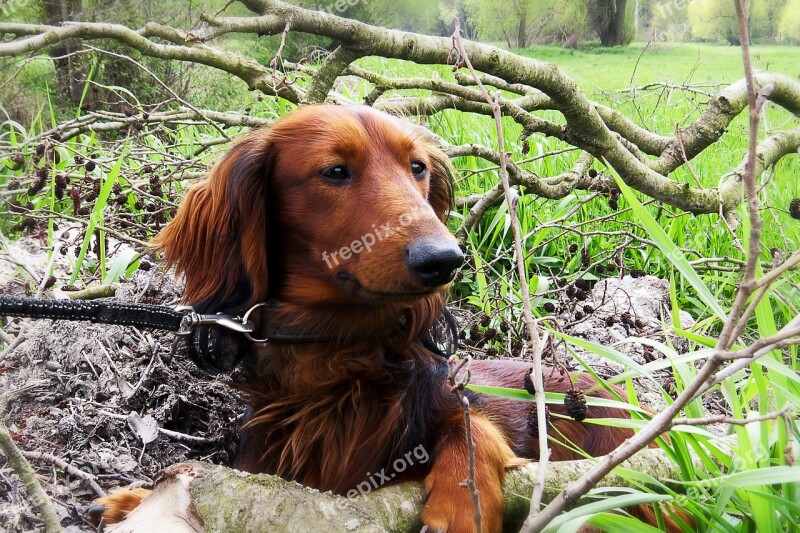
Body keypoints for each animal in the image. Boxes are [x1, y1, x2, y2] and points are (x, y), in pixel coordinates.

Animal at [94, 105, 680, 532]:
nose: (445, 259)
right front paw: (134, 498)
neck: (339, 354)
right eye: (335, 171)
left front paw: (462, 505)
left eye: (417, 167)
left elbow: (472, 424)